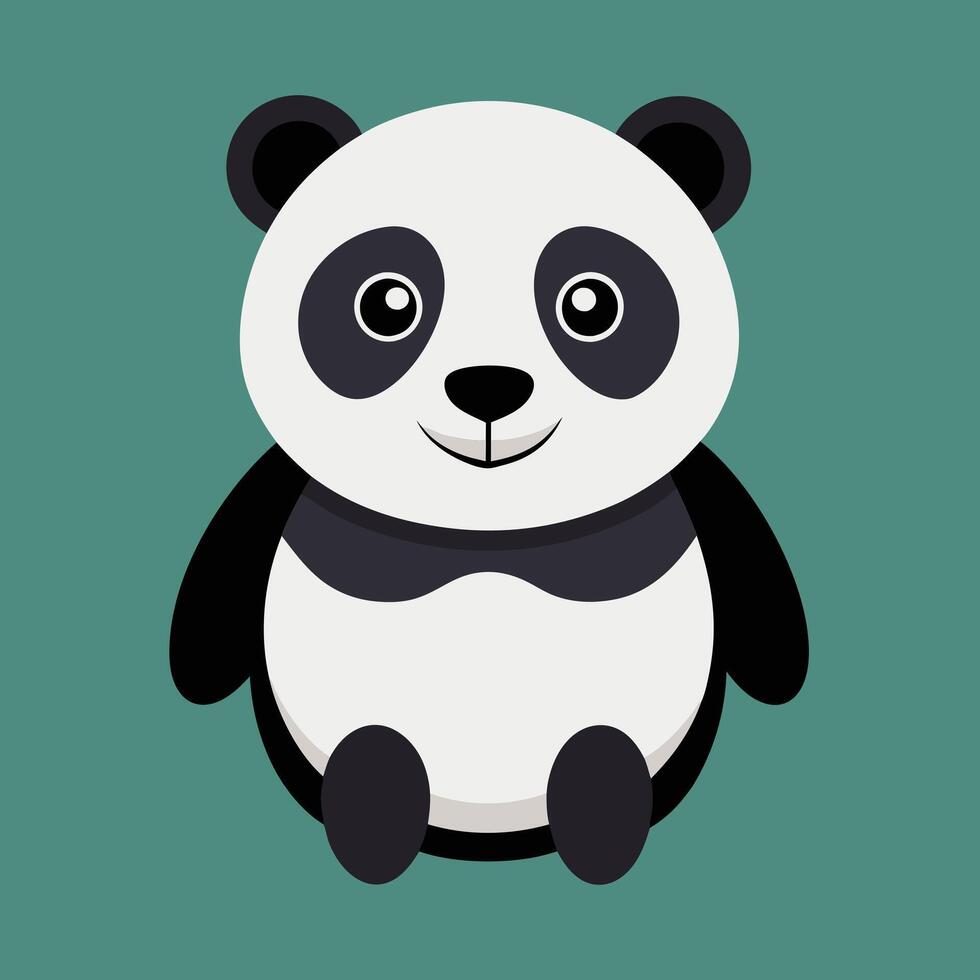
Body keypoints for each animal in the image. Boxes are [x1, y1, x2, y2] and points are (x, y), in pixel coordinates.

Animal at [171, 95, 808, 885]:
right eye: (386, 304)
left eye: (591, 304)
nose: (488, 388)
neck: (489, 533)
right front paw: (192, 671)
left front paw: (785, 671)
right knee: (375, 752)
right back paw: (373, 813)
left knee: (599, 753)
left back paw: (600, 813)